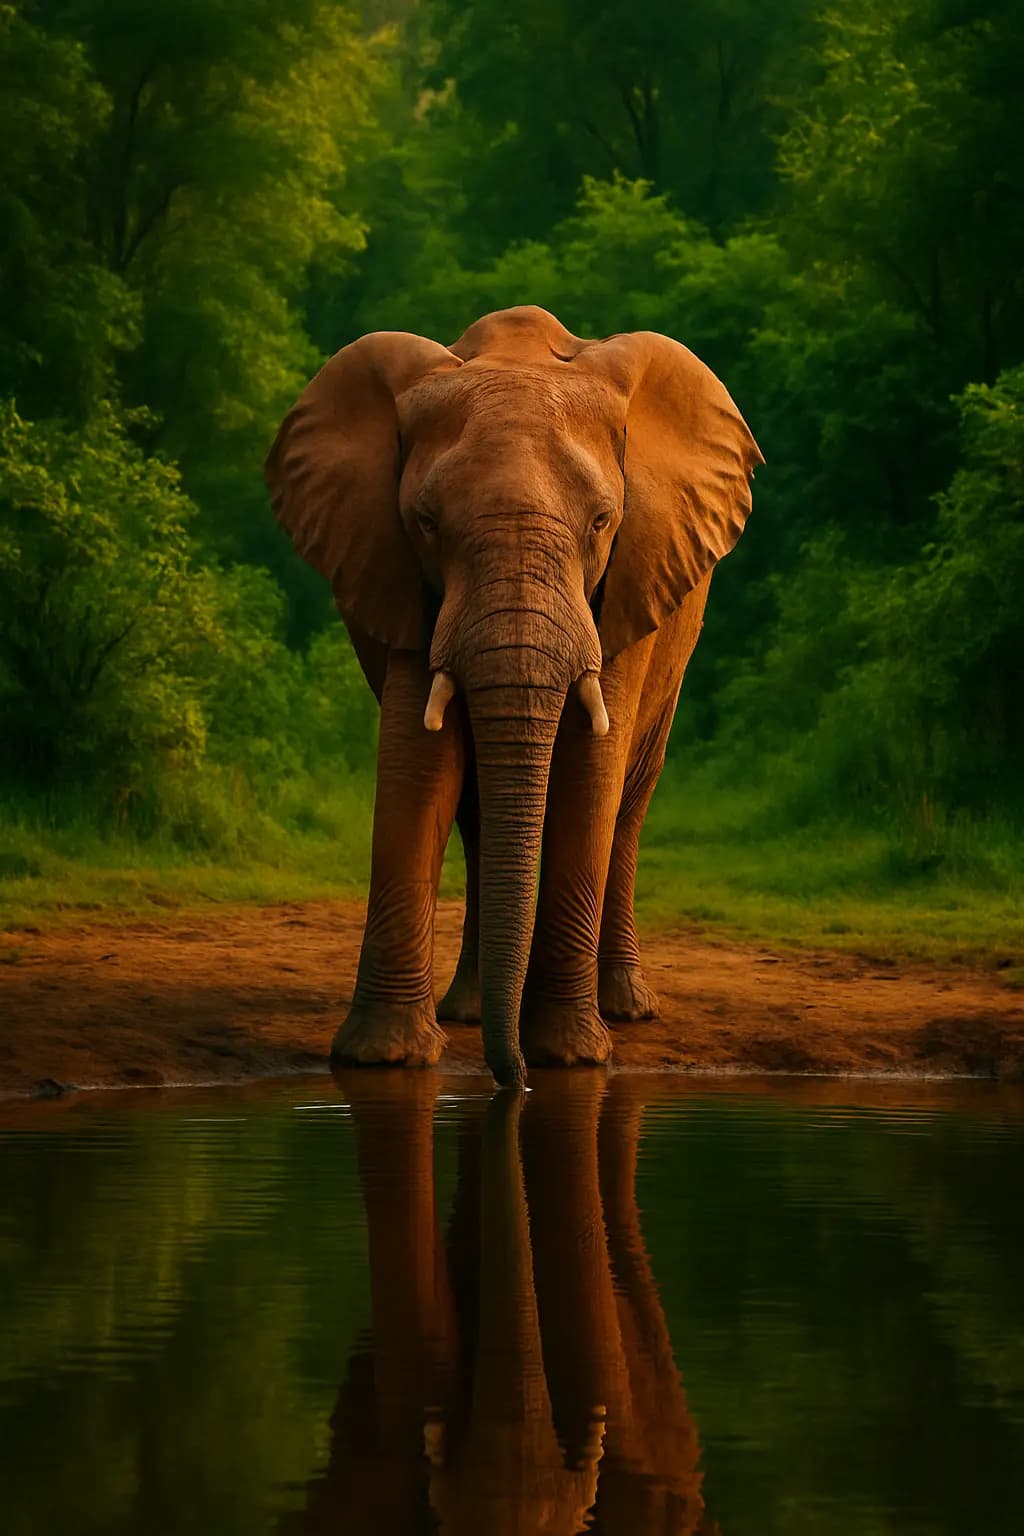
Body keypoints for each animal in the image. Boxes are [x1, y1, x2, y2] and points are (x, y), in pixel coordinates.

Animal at [266, 305, 761, 1087]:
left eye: (601, 523)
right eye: (426, 523)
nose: (512, 1079)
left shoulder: (626, 583)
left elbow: (589, 774)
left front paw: (571, 1057)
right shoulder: (402, 584)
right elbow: (418, 767)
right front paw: (385, 1058)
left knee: (629, 804)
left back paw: (623, 1008)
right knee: (476, 811)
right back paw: (471, 1013)